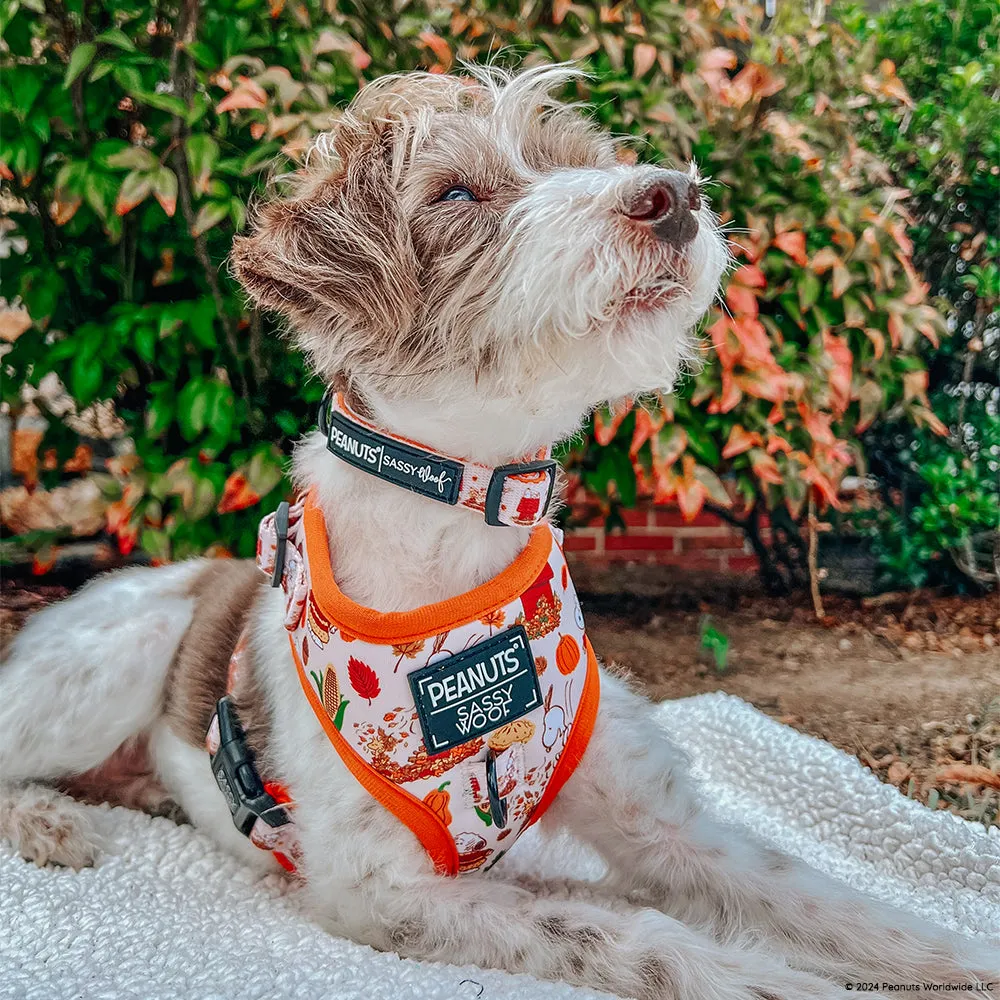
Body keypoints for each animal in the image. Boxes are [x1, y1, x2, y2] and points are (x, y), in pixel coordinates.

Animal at [0, 64, 996, 1000]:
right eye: (453, 195)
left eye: (580, 159)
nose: (673, 195)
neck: (457, 545)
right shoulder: (381, 893)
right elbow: (632, 938)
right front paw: (765, 979)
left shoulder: (662, 822)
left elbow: (835, 905)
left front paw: (958, 958)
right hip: (109, 661)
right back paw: (48, 820)